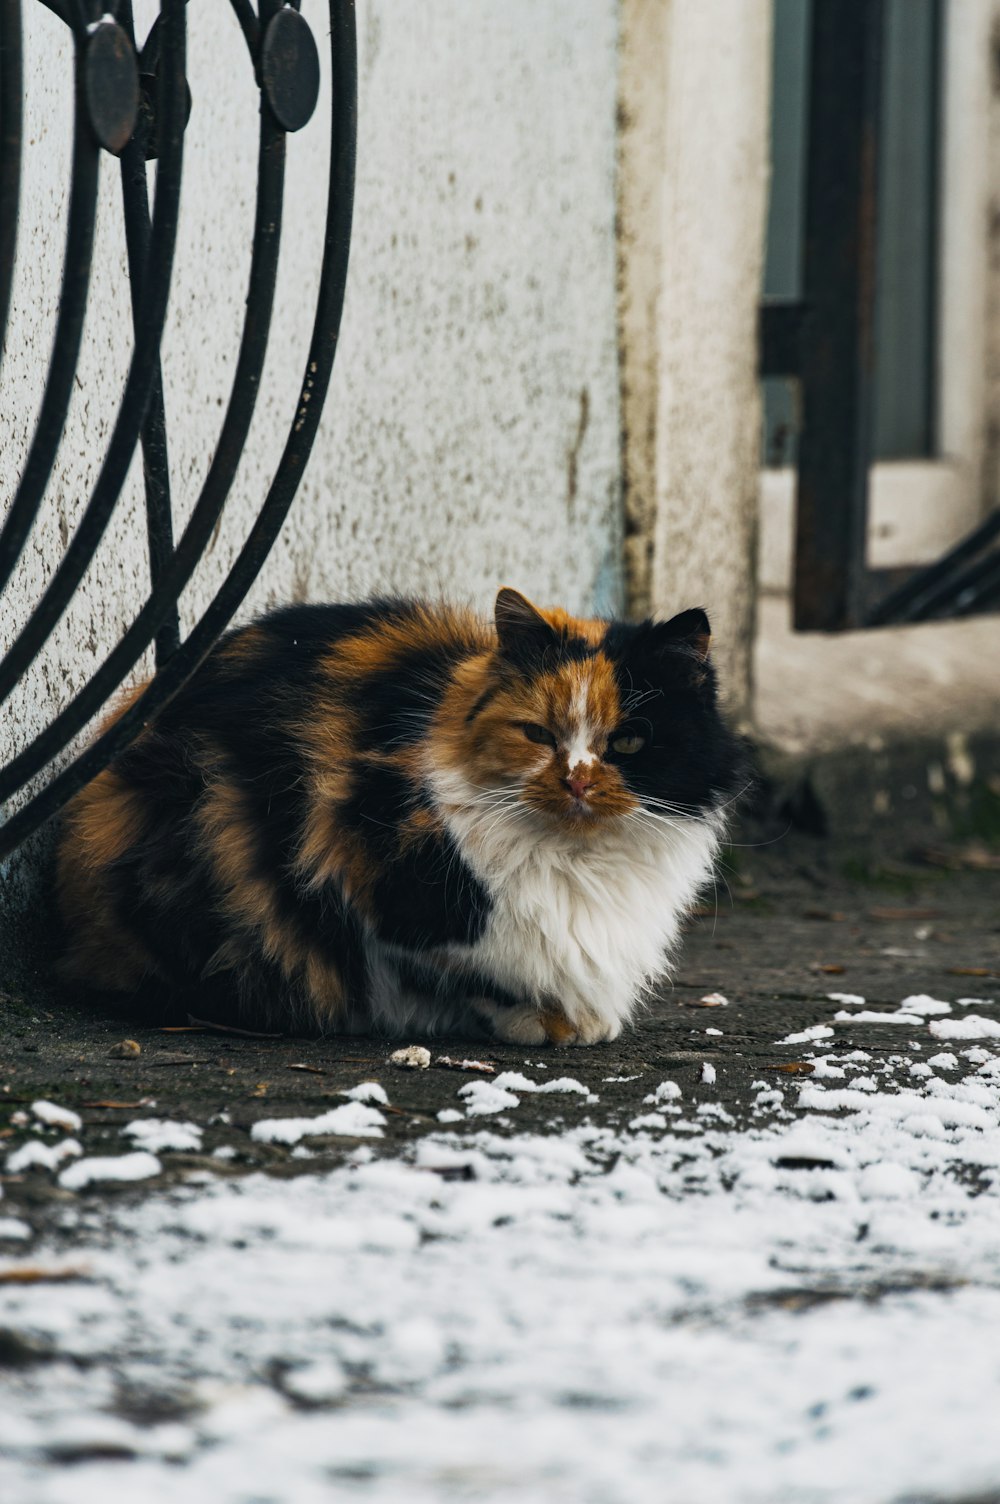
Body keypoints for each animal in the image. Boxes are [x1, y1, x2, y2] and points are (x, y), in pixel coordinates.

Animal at [56, 586, 739, 1046]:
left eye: (628, 742)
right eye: (539, 735)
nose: (575, 779)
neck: (579, 859)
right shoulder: (370, 883)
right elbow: (475, 974)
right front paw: (548, 1022)